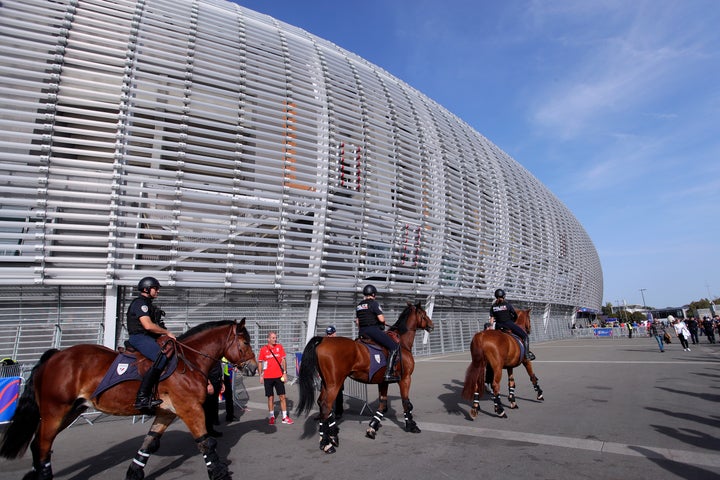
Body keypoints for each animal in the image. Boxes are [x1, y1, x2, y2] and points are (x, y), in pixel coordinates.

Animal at [0, 318, 256, 480]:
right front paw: (219, 472)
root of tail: (55, 356)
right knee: (43, 444)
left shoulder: (167, 412)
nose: (254, 367)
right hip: (55, 411)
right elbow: (205, 442)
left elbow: (149, 443)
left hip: (70, 411)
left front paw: (135, 472)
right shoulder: (190, 408)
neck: (189, 361)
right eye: (245, 343)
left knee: (38, 444)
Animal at [294, 302, 430, 452]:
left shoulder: (383, 382)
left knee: (321, 403)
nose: (431, 324)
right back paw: (326, 443)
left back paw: (332, 434)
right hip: (334, 384)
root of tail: (323, 340)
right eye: (424, 314)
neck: (402, 343)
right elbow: (406, 403)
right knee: (325, 406)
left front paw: (372, 428)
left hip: (326, 383)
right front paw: (412, 425)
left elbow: (383, 405)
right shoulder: (405, 379)